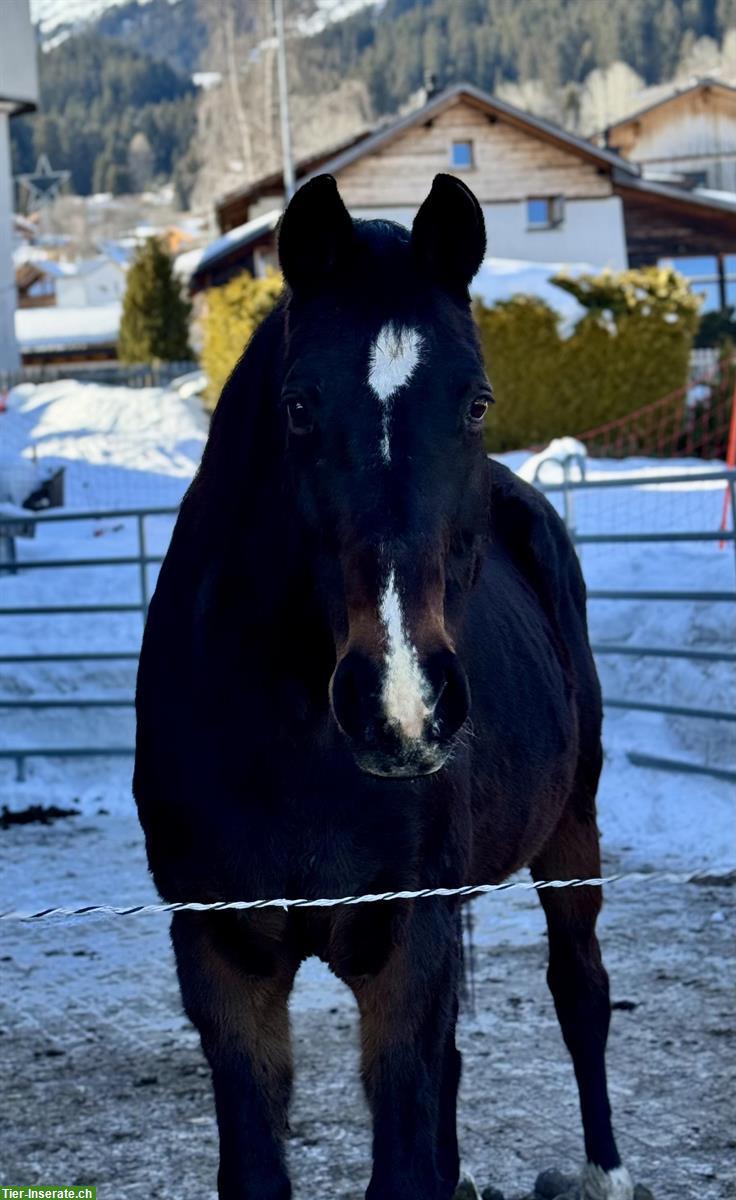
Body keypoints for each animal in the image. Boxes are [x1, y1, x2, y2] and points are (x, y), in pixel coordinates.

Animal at [135, 171, 633, 1200]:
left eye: (477, 403)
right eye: (297, 406)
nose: (402, 709)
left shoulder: (407, 950)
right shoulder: (222, 958)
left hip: (573, 826)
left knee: (582, 991)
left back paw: (605, 1170)